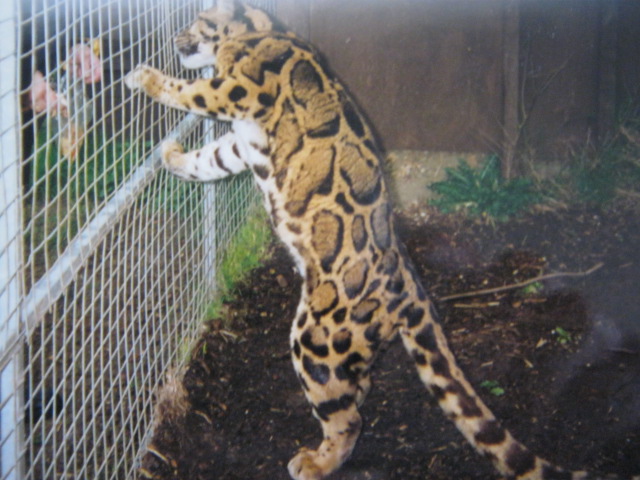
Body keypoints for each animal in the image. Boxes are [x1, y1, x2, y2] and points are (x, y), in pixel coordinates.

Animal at [125, 2, 631, 479]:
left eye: (195, 19)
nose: (175, 37)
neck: (260, 29)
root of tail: (408, 284)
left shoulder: (234, 89)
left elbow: (187, 92)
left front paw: (143, 77)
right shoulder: (240, 143)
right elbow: (209, 159)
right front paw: (173, 155)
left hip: (315, 337)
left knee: (347, 419)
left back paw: (315, 462)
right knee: (354, 390)